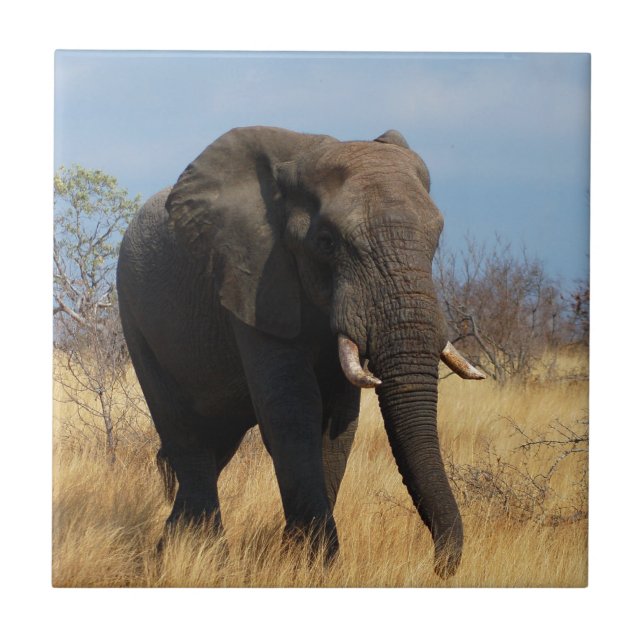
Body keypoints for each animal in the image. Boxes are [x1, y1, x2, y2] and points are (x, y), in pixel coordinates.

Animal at [116, 126, 484, 578]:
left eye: (435, 240)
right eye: (326, 242)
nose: (438, 568)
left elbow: (339, 420)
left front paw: (299, 561)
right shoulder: (252, 279)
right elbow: (293, 409)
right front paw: (320, 565)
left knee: (215, 443)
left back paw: (167, 552)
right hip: (134, 315)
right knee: (185, 434)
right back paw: (208, 558)